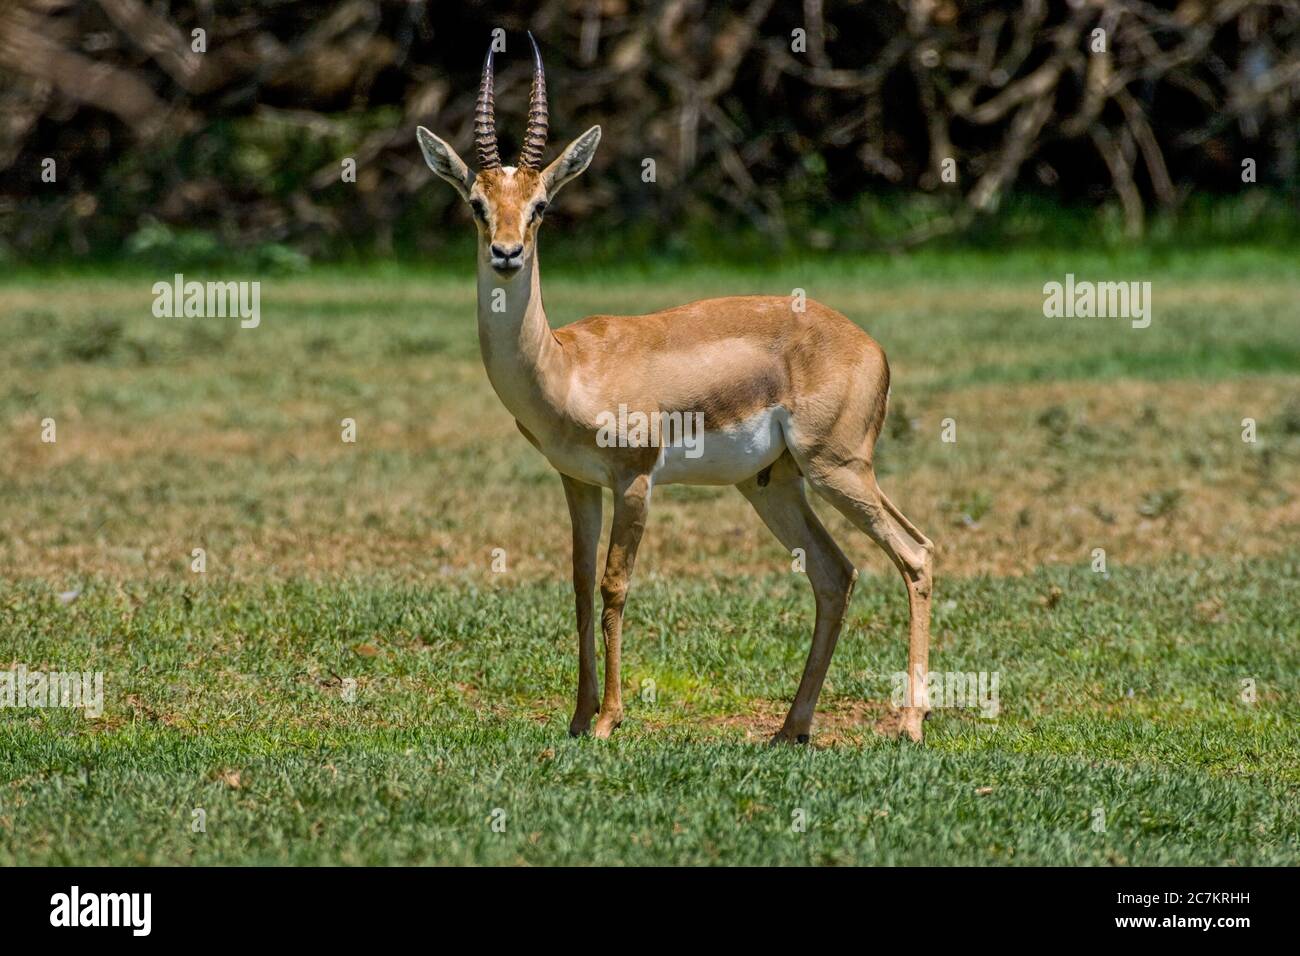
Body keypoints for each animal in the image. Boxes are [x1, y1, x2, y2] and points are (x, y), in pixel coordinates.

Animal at [416, 34, 935, 744]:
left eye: (540, 206)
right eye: (477, 204)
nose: (506, 254)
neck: (567, 365)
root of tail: (871, 346)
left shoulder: (635, 479)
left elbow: (614, 585)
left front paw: (608, 720)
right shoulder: (578, 481)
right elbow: (579, 583)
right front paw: (577, 717)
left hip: (838, 468)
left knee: (916, 554)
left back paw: (909, 724)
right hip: (772, 484)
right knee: (835, 574)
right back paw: (790, 730)